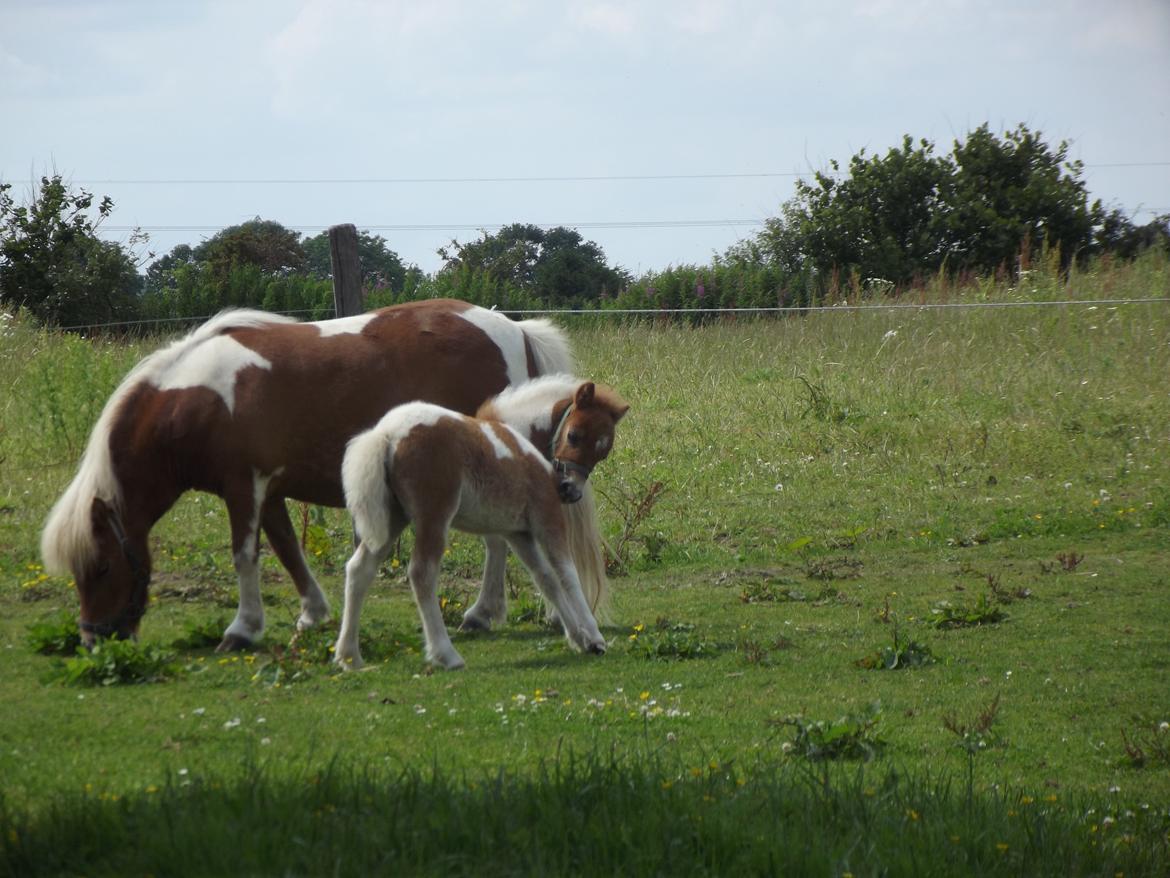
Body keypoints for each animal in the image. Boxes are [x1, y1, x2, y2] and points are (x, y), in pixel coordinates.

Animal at [40, 302, 608, 655]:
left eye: (102, 568)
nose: (94, 641)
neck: (200, 398)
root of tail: (510, 327)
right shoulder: (267, 491)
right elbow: (287, 547)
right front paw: (312, 613)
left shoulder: (242, 487)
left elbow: (244, 556)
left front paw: (242, 629)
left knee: (497, 543)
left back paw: (483, 614)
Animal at [336, 374, 631, 669]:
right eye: (574, 435)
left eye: (603, 452)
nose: (570, 490)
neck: (520, 438)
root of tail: (385, 434)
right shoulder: (547, 517)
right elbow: (566, 573)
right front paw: (594, 637)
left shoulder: (517, 531)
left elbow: (546, 578)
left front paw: (578, 638)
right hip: (434, 517)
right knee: (422, 573)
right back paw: (446, 654)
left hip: (391, 518)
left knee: (359, 569)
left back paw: (349, 655)